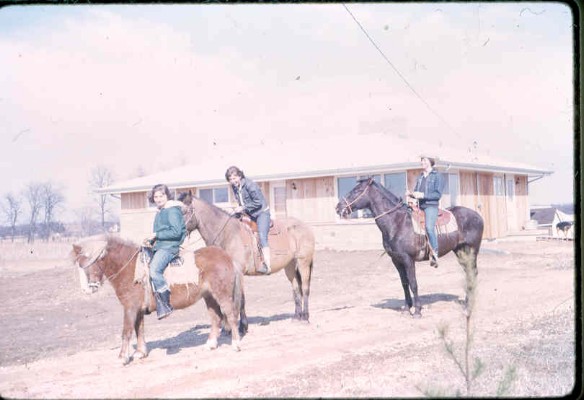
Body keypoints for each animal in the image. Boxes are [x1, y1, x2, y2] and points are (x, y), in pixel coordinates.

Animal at [71, 234, 249, 366]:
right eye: (79, 264)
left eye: (90, 262)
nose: (88, 289)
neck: (130, 268)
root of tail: (226, 257)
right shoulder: (138, 309)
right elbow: (139, 329)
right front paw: (140, 353)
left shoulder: (130, 308)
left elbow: (126, 331)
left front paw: (122, 357)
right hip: (209, 297)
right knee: (216, 318)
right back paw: (211, 344)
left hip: (223, 296)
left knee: (231, 316)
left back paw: (236, 344)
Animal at [177, 191, 314, 322]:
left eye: (184, 211)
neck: (228, 234)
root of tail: (304, 226)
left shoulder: (238, 272)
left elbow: (240, 299)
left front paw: (242, 326)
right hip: (290, 266)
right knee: (296, 288)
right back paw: (297, 317)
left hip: (303, 263)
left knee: (305, 288)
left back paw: (305, 317)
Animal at [336, 178, 482, 318]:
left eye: (357, 190)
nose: (338, 207)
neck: (397, 222)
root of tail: (478, 216)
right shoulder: (396, 260)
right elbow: (404, 283)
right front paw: (407, 309)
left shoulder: (408, 260)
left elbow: (413, 283)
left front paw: (417, 311)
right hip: (460, 251)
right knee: (469, 275)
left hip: (472, 251)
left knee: (473, 274)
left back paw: (469, 306)